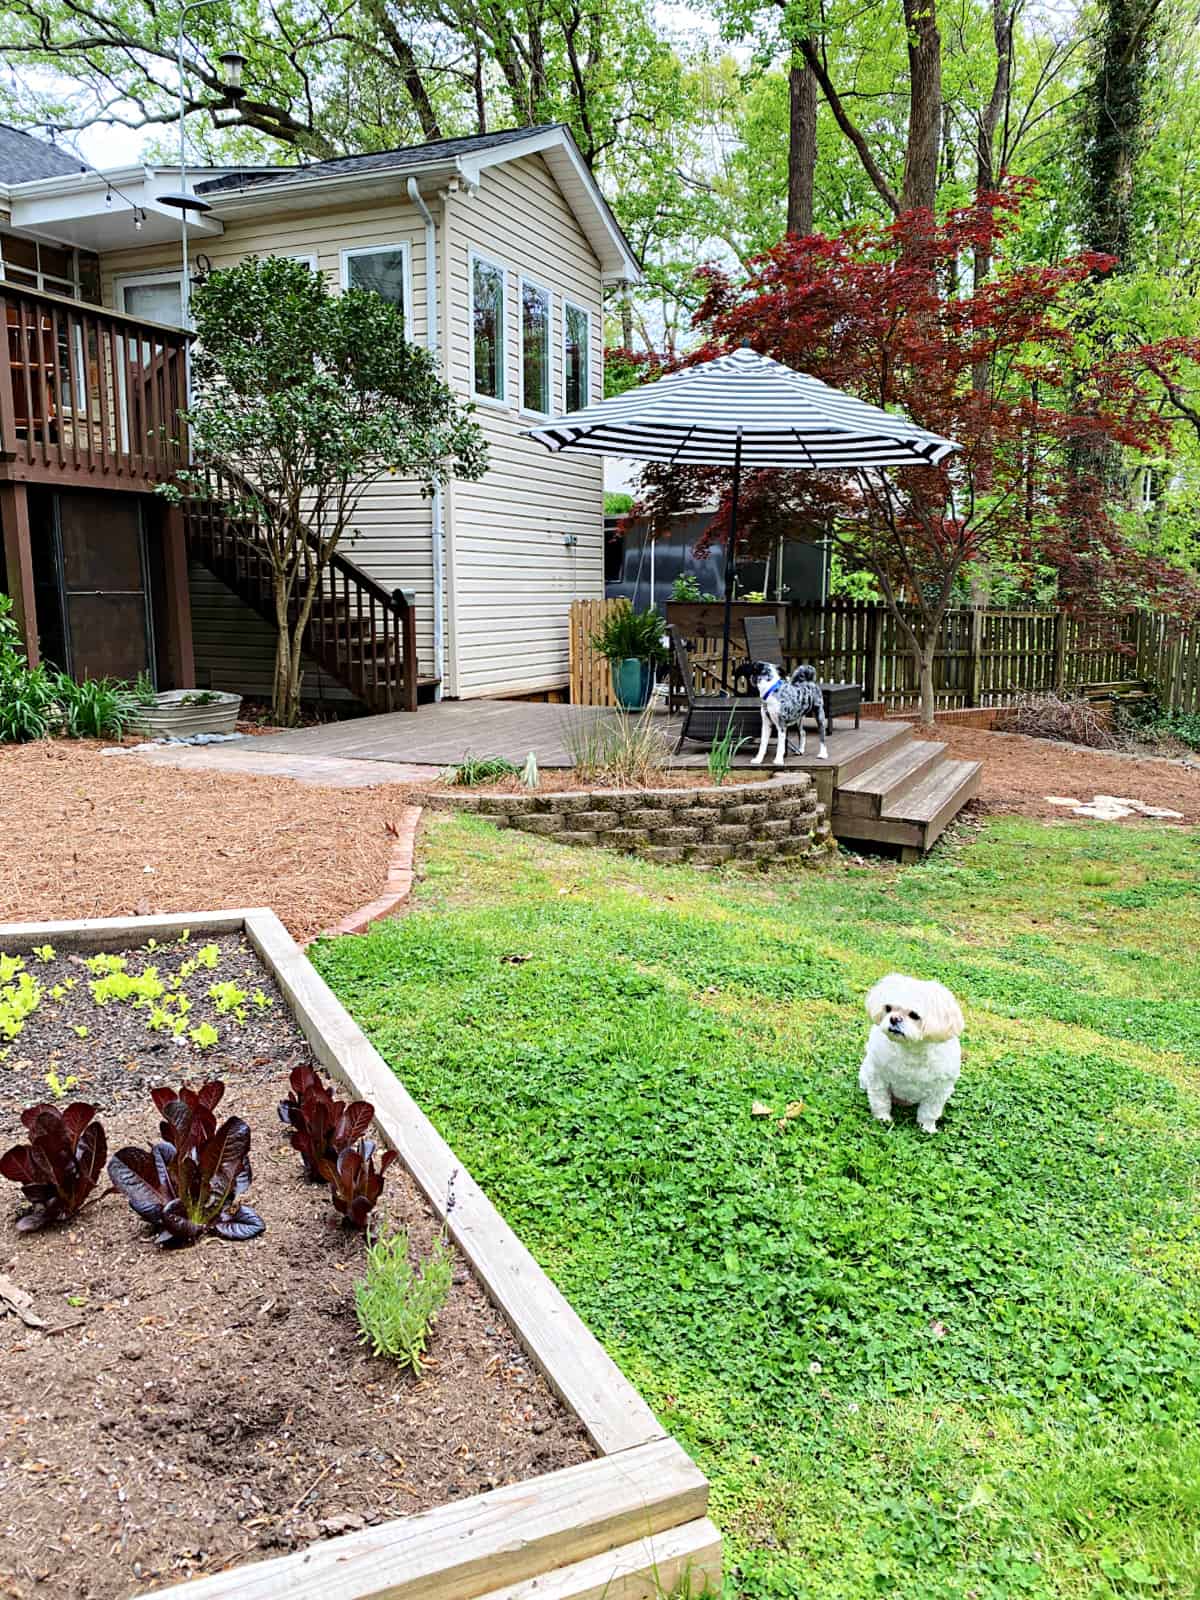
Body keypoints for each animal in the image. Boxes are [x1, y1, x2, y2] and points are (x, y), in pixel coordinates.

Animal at [857, 966, 966, 1132]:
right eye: (888, 1008)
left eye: (914, 1015)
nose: (894, 1018)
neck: (911, 1048)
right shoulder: (878, 1077)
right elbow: (880, 1100)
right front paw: (883, 1118)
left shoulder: (939, 1090)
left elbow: (930, 1111)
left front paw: (927, 1128)